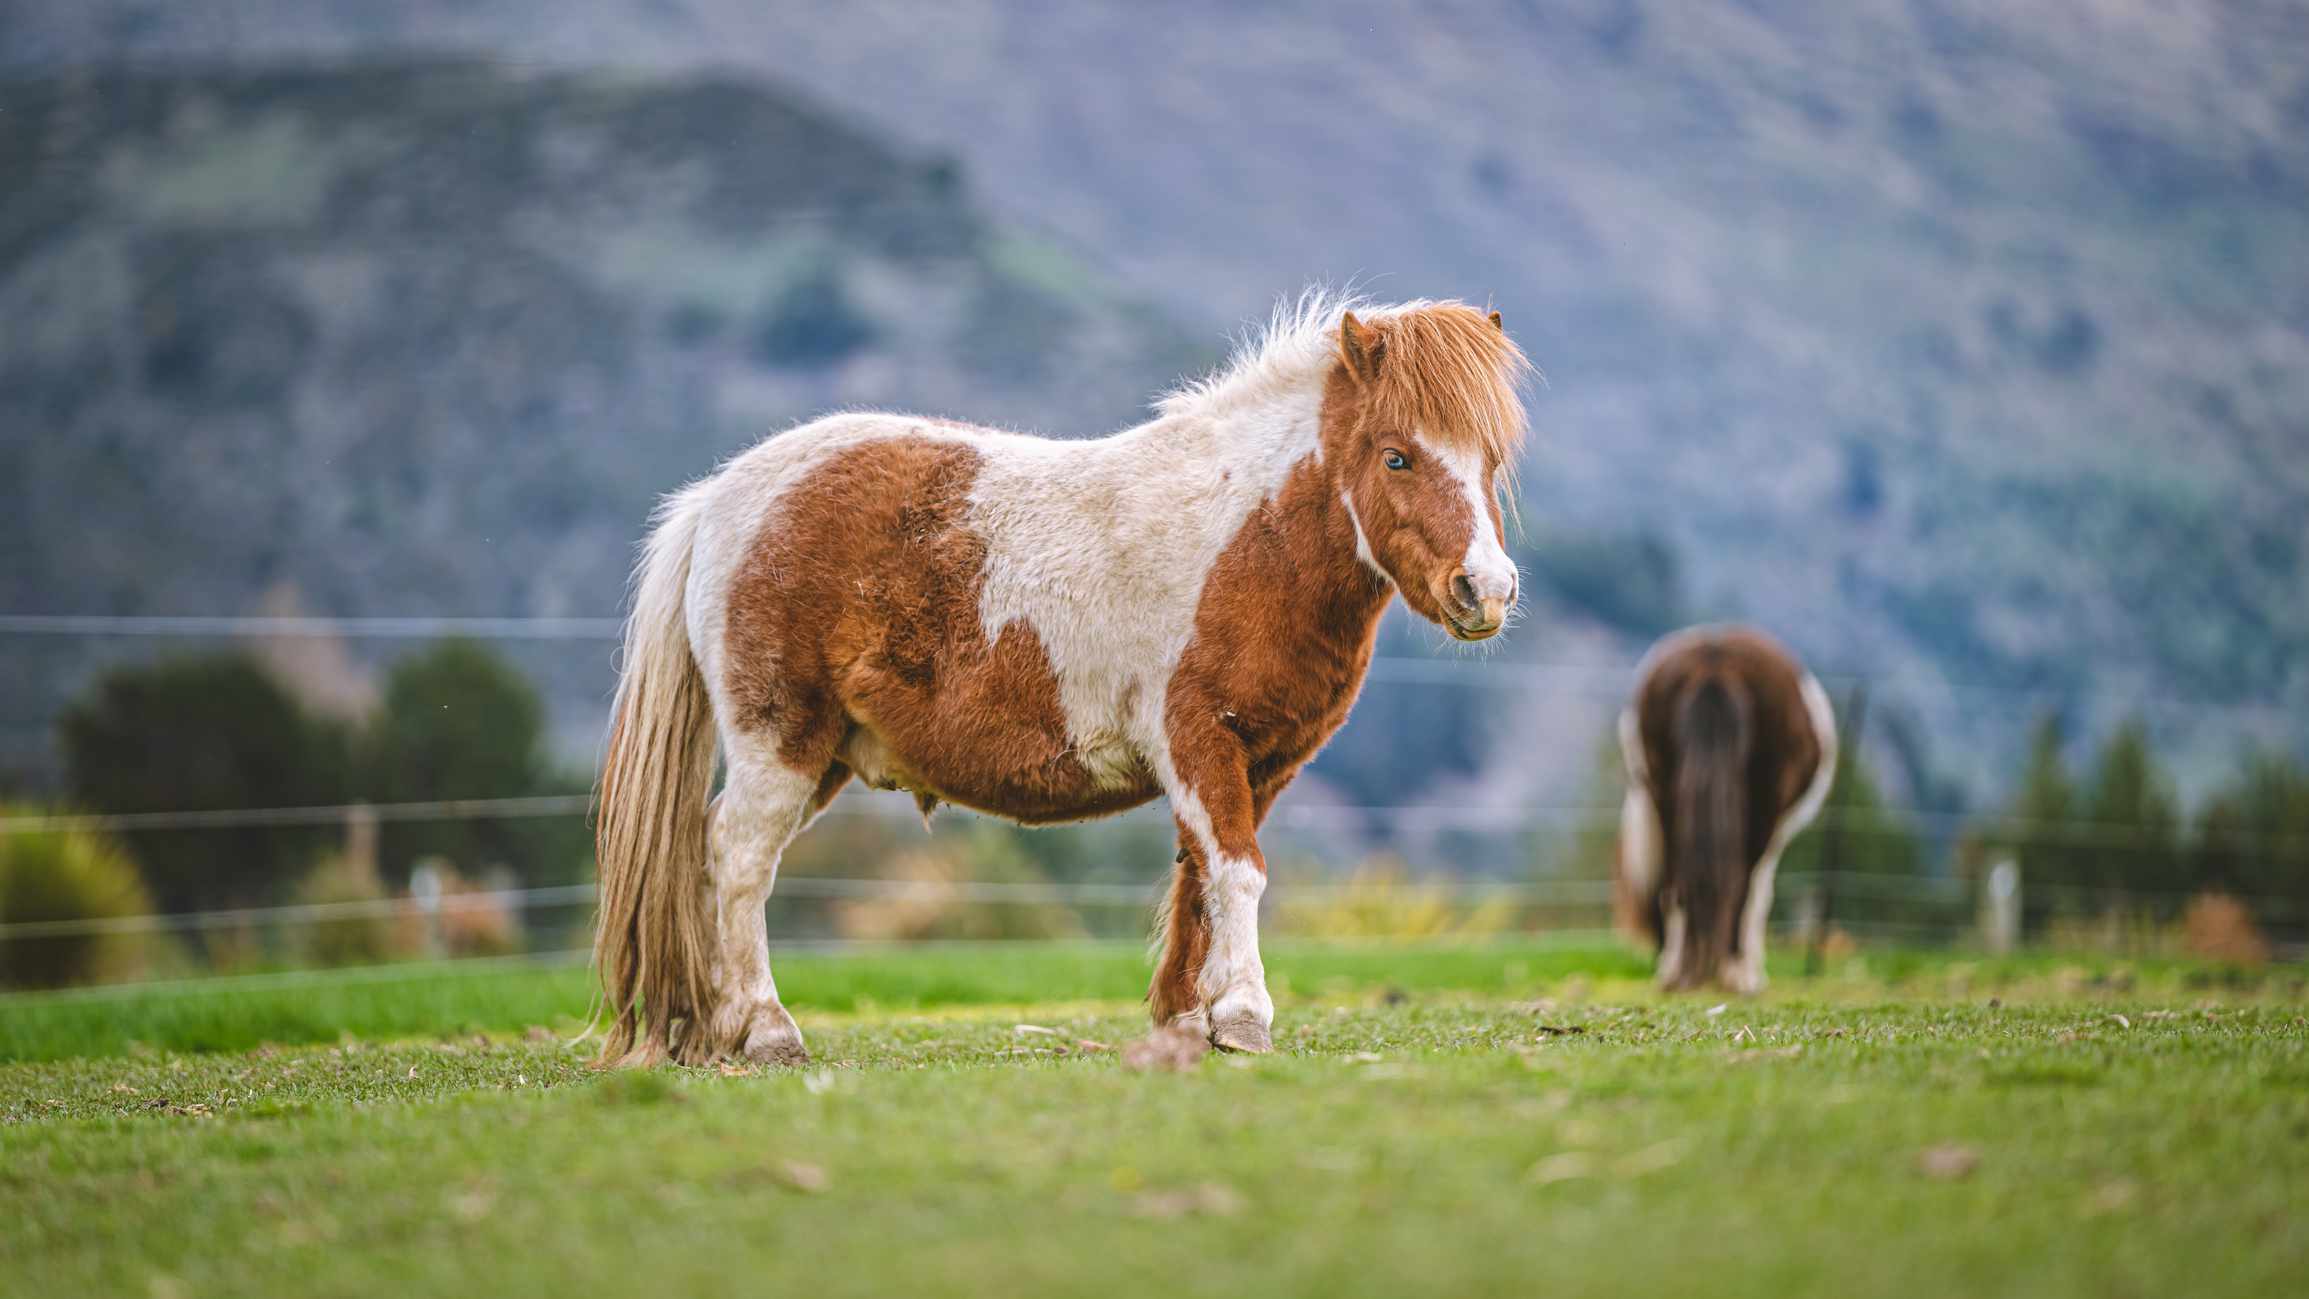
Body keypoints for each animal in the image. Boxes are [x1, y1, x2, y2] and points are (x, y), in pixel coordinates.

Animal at [595, 295, 1533, 1065]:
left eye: (1490, 458)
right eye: (1397, 457)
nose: (1484, 590)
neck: (1246, 538)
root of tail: (719, 497)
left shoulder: (1261, 761)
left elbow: (1200, 878)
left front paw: (1186, 1021)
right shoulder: (1198, 741)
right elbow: (1236, 871)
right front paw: (1242, 1016)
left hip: (821, 757)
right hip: (780, 743)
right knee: (737, 859)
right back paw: (765, 1030)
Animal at [1616, 622, 1828, 992]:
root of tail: (1715, 660)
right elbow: (1759, 896)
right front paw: (1748, 969)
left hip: (1664, 794)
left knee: (1677, 882)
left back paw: (1678, 971)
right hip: (1763, 806)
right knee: (1742, 884)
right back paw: (1737, 973)